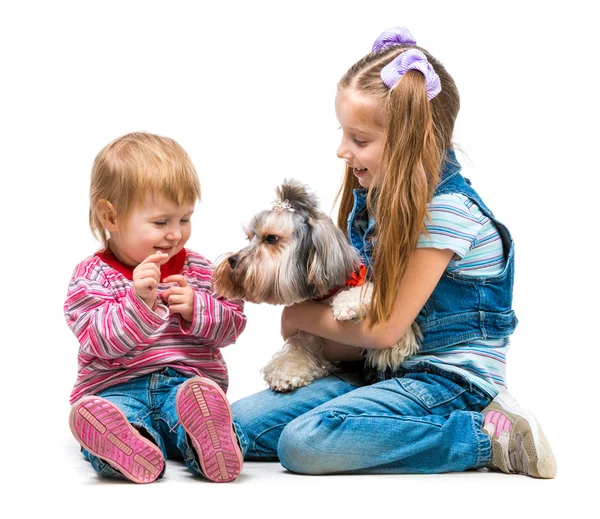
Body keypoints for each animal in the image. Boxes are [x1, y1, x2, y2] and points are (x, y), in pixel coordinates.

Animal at [213, 179, 420, 390]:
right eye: (249, 237)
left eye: (271, 238)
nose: (232, 260)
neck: (324, 296)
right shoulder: (308, 336)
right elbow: (297, 353)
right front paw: (285, 374)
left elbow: (370, 299)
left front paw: (347, 307)